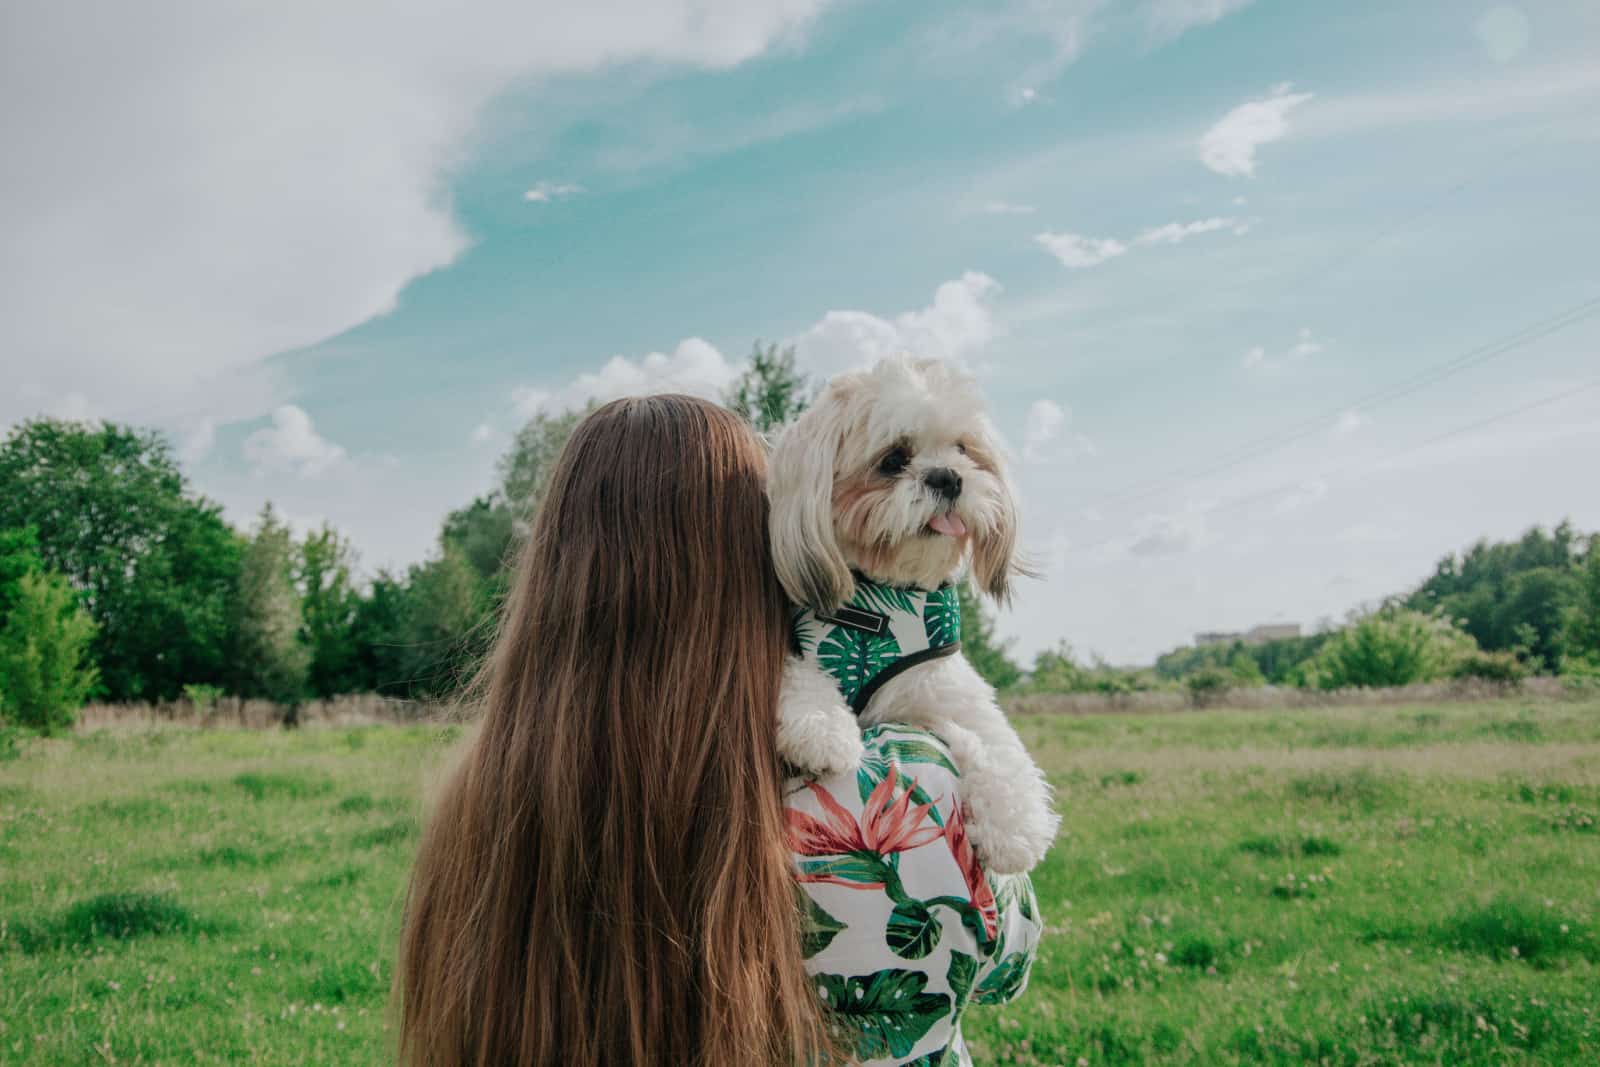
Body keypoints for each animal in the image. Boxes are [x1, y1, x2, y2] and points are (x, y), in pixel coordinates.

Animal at [771, 355, 1062, 870]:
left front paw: (1015, 823)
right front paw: (822, 729)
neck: (877, 612)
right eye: (893, 460)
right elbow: (801, 676)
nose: (947, 476)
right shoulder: (796, 645)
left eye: (963, 450)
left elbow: (995, 740)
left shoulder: (943, 687)